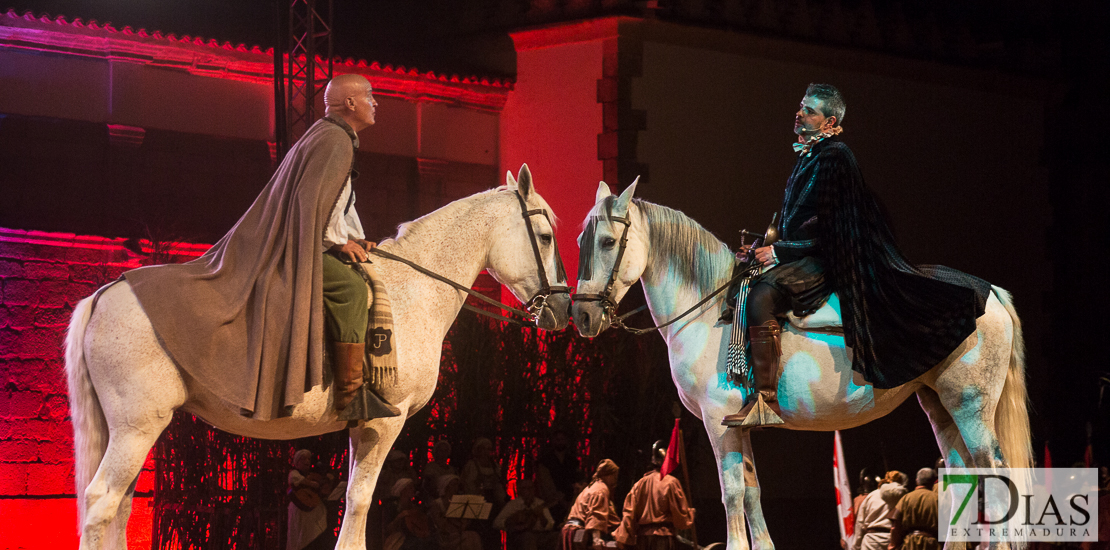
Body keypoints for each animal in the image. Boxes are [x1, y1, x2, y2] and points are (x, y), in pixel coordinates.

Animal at [64, 164, 568, 550]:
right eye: (544, 236)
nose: (564, 309)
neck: (413, 290)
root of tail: (109, 293)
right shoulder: (384, 423)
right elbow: (360, 503)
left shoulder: (360, 426)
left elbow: (353, 500)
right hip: (137, 427)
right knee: (101, 502)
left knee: (119, 507)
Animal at [572, 182, 1030, 550]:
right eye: (581, 240)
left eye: (609, 242)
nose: (583, 317)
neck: (708, 310)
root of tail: (988, 291)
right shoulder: (739, 425)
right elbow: (752, 492)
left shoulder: (718, 423)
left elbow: (732, 493)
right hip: (939, 405)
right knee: (964, 481)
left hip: (970, 406)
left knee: (995, 481)